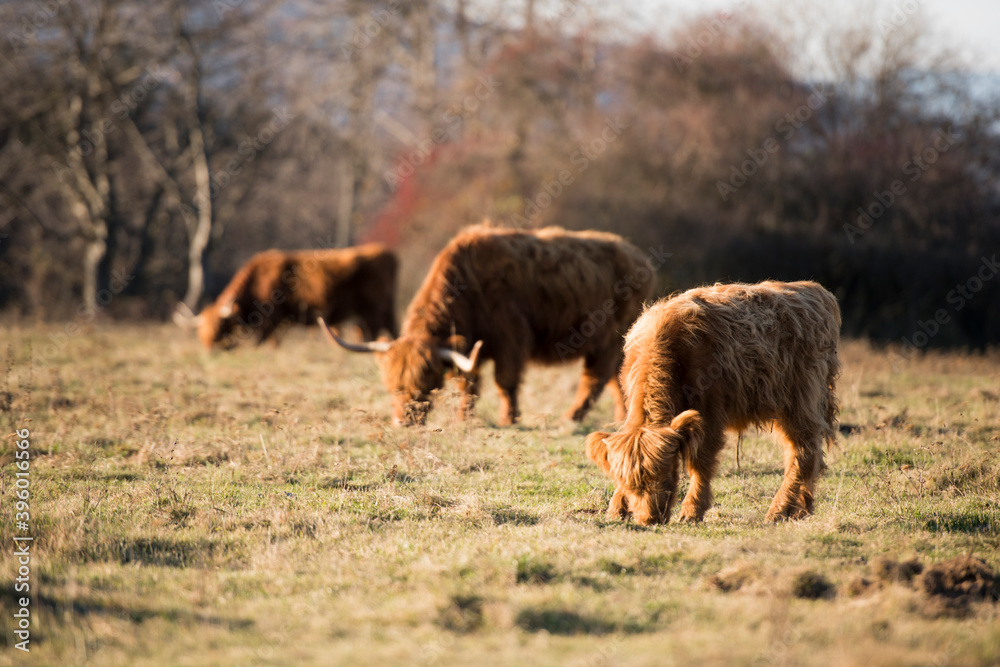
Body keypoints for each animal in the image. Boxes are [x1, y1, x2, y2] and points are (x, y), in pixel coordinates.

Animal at [174, 244, 398, 350]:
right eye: (201, 330)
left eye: (221, 327)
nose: (209, 349)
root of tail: (385, 251)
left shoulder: (271, 320)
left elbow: (264, 342)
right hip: (385, 310)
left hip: (372, 311)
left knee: (373, 333)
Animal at [320, 225, 657, 426]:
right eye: (391, 386)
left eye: (426, 385)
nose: (404, 421)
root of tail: (637, 256)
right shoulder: (468, 347)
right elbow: (467, 383)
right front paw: (465, 419)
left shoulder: (511, 339)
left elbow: (504, 382)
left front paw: (510, 419)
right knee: (617, 378)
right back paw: (622, 419)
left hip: (609, 340)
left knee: (595, 378)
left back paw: (570, 418)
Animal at [585, 280, 841, 525]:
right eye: (631, 485)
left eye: (665, 478)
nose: (649, 519)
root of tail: (815, 291)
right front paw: (616, 509)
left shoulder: (710, 412)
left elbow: (701, 463)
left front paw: (691, 512)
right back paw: (801, 510)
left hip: (801, 401)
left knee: (803, 452)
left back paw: (778, 512)